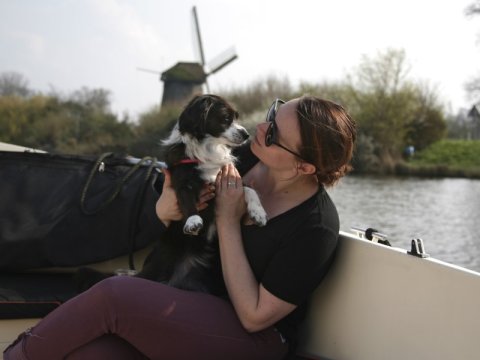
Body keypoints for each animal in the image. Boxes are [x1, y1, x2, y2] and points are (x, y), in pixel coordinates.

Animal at [77, 94, 268, 296]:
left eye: (236, 117)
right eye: (225, 118)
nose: (246, 134)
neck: (208, 149)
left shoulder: (228, 179)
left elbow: (250, 190)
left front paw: (259, 213)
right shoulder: (182, 182)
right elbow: (186, 201)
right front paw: (193, 221)